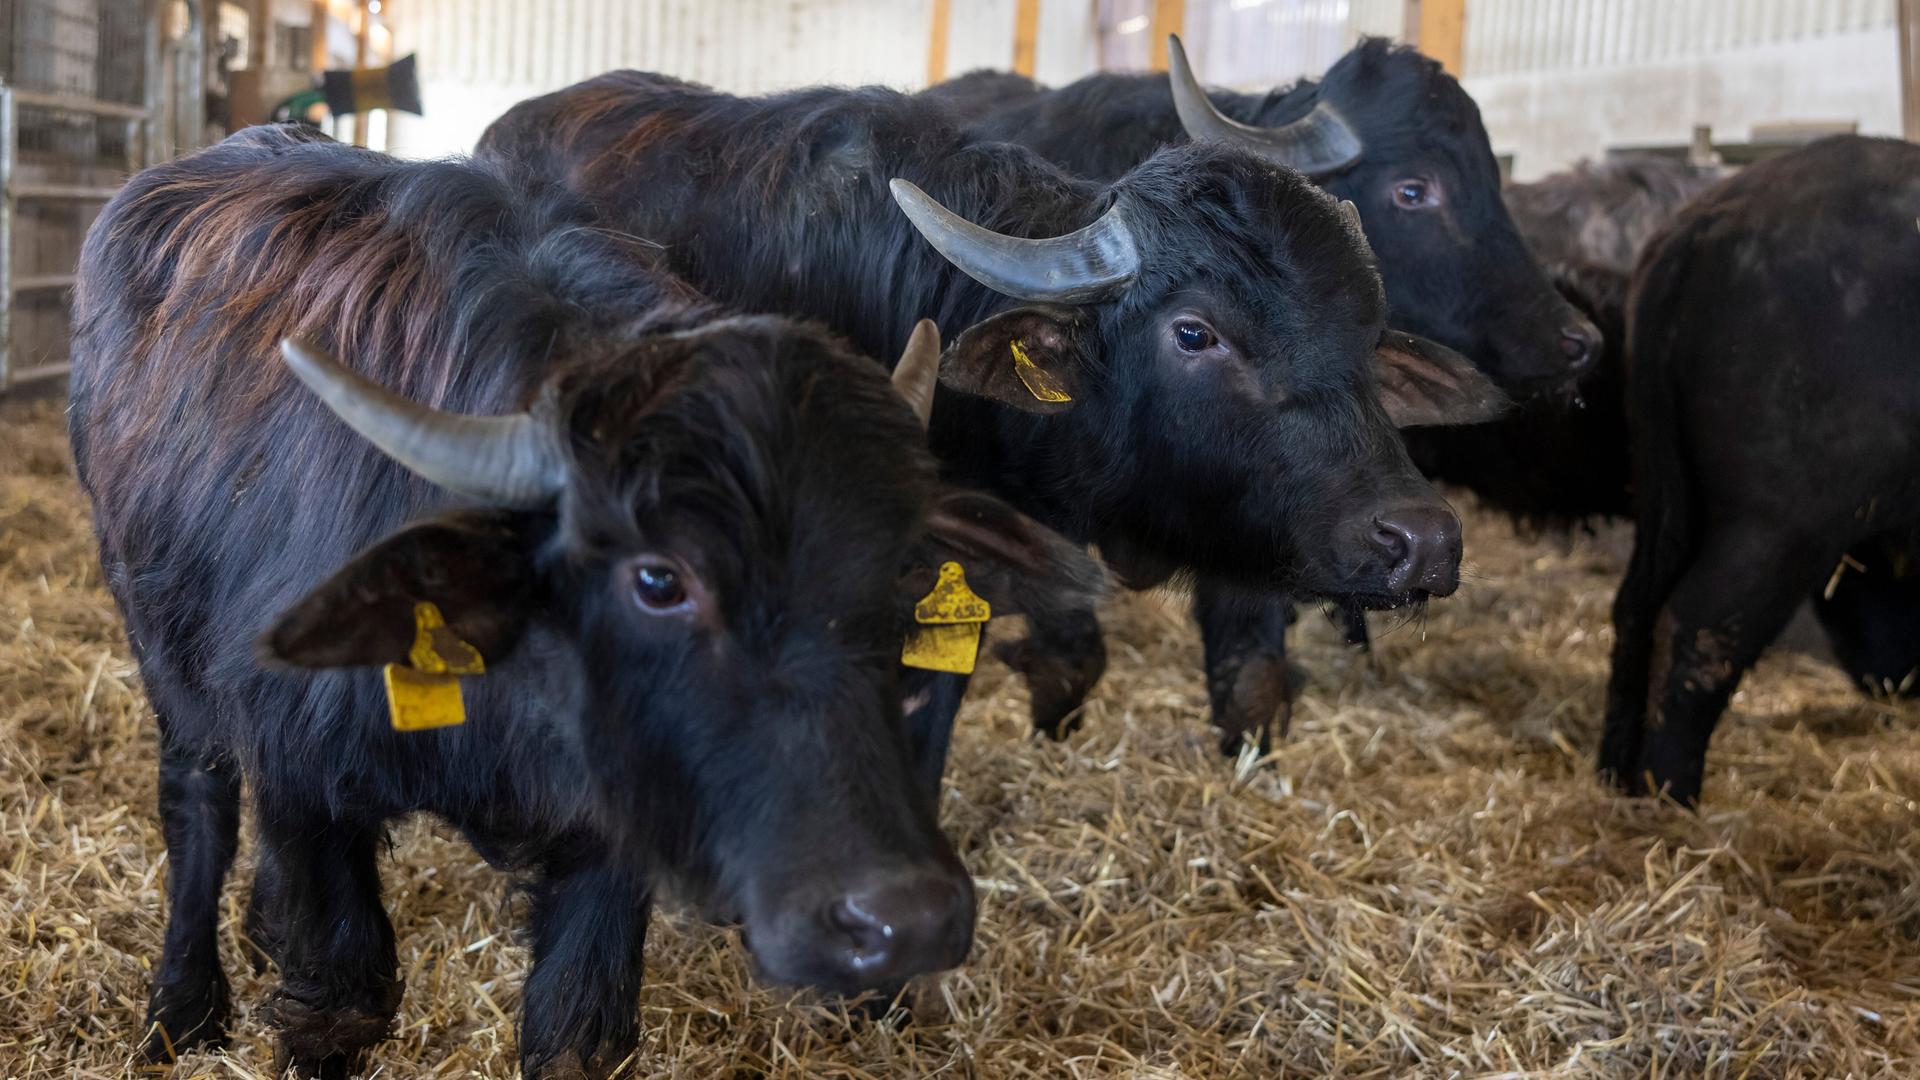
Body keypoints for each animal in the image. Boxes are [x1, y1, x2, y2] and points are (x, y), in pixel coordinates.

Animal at [74, 123, 1105, 1068]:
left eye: (894, 570)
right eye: (659, 578)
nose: (905, 917)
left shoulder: (608, 845)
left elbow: (575, 1029)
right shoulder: (304, 781)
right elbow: (338, 1000)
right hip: (156, 639)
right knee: (197, 799)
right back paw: (182, 1008)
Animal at [1605, 134, 1920, 803]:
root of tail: (1703, 223)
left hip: (1669, 504)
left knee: (1638, 609)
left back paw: (1616, 774)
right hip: (1777, 525)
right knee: (1699, 627)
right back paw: (1672, 794)